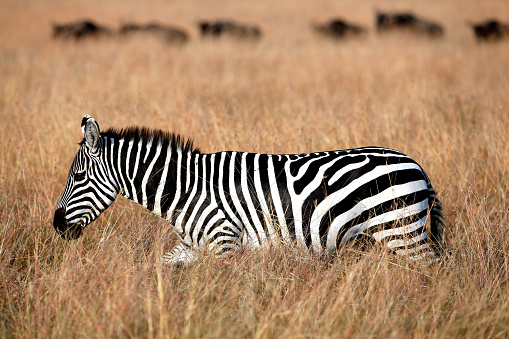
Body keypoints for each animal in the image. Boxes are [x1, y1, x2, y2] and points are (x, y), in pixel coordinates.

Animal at [53, 115, 444, 266]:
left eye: (78, 176)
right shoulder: (191, 246)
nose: (56, 226)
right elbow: (160, 269)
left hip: (402, 232)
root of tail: (419, 168)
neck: (184, 190)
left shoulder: (224, 241)